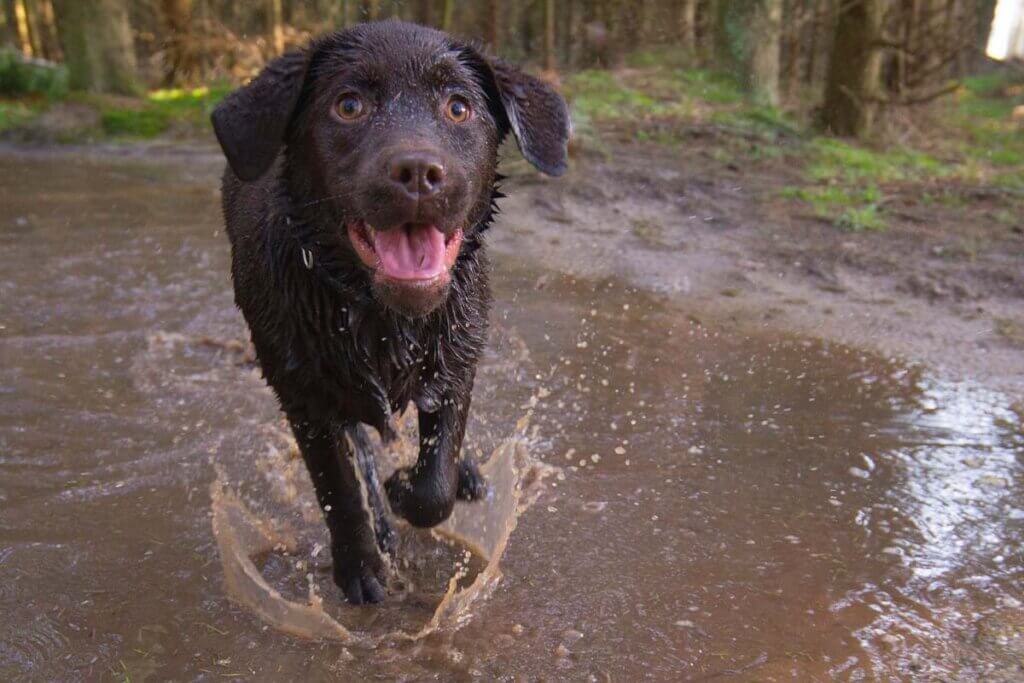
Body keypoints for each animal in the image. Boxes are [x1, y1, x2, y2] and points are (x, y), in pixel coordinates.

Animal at [211, 21, 573, 606]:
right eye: (349, 105)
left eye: (458, 107)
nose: (419, 171)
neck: (380, 318)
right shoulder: (303, 396)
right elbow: (339, 489)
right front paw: (361, 566)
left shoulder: (457, 364)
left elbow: (435, 484)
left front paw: (408, 485)